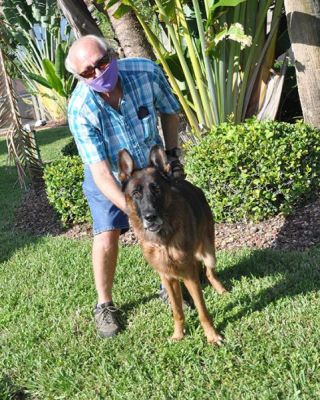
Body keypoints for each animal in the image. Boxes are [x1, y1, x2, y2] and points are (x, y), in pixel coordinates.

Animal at [118, 145, 228, 346]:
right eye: (136, 194)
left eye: (157, 190)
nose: (150, 217)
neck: (164, 242)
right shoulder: (168, 278)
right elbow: (177, 311)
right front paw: (179, 334)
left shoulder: (189, 277)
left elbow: (202, 310)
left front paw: (212, 336)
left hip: (209, 251)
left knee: (209, 271)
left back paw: (221, 289)